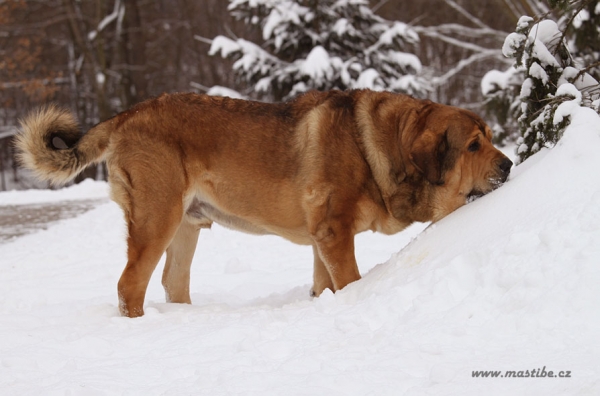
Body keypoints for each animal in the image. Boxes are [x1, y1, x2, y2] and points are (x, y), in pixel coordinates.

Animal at [15, 89, 510, 316]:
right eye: (473, 145)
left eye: (489, 137)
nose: (508, 165)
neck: (384, 146)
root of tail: (125, 115)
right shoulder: (335, 234)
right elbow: (350, 282)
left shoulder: (323, 240)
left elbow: (324, 286)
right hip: (157, 220)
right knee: (129, 285)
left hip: (185, 227)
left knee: (173, 282)